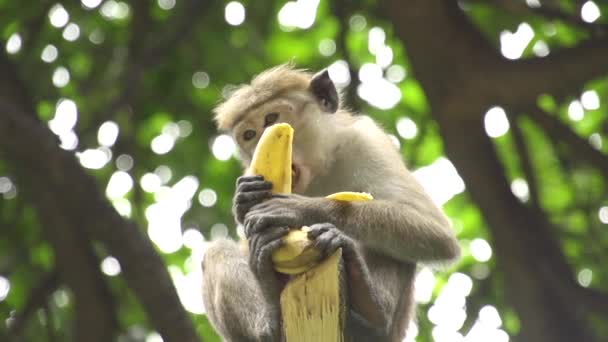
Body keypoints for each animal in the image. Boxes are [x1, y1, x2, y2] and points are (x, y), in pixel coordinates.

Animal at [201, 65, 460, 342]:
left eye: (271, 118)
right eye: (249, 135)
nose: (260, 139)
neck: (319, 170)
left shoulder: (365, 141)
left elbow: (435, 232)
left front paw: (303, 209)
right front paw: (244, 199)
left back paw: (371, 310)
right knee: (216, 252)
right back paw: (269, 313)